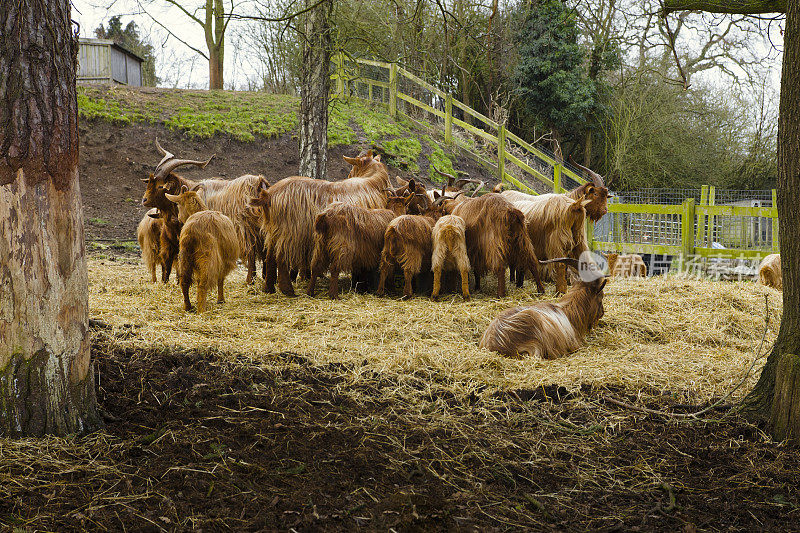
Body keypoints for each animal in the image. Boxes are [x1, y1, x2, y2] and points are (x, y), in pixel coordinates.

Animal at [258, 151, 392, 296]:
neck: (372, 183)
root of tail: (269, 195)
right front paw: (360, 286)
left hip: (274, 231)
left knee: (270, 257)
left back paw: (269, 288)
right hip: (291, 231)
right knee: (281, 258)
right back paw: (288, 290)